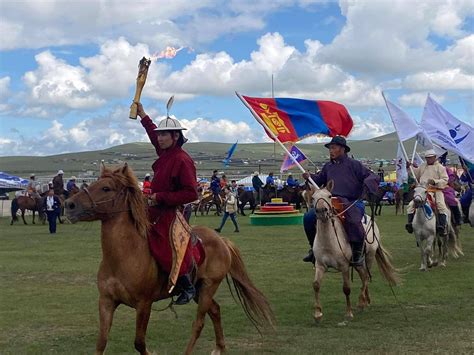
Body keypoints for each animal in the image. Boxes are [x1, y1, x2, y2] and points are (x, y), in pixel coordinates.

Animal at [64, 165, 272, 354]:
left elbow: (139, 343)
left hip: (208, 287)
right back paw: (219, 348)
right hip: (199, 289)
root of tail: (221, 240)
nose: (69, 205)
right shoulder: (106, 301)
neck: (123, 257)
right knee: (215, 310)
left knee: (199, 323)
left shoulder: (144, 304)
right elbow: (101, 342)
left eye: (106, 188)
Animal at [312, 181, 398, 322]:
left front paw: (349, 313)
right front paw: (318, 313)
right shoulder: (320, 265)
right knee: (363, 276)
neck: (329, 240)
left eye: (329, 196)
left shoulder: (344, 266)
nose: (321, 211)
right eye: (313, 197)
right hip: (358, 263)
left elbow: (346, 288)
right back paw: (366, 300)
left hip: (369, 257)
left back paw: (361, 302)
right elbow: (316, 285)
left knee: (366, 277)